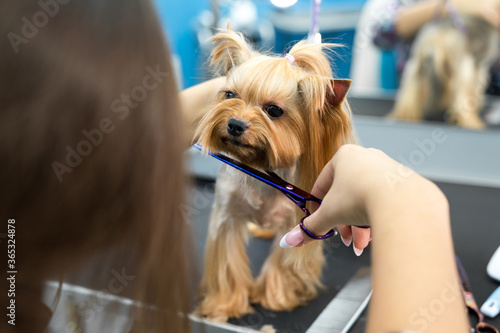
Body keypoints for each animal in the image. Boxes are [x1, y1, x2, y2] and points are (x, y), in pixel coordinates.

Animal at [191, 21, 356, 322]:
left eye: (274, 110)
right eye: (230, 95)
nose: (234, 124)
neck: (262, 170)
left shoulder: (294, 222)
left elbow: (282, 260)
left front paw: (276, 299)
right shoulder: (226, 216)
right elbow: (228, 262)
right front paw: (224, 305)